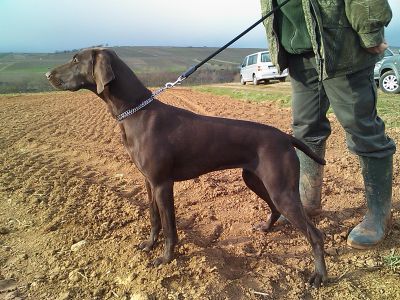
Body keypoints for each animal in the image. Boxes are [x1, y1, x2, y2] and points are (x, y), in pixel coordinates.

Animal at [47, 48, 328, 288]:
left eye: (76, 59)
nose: (48, 74)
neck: (136, 112)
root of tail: (286, 137)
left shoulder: (163, 184)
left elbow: (170, 227)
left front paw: (165, 259)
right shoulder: (148, 182)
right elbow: (154, 219)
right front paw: (148, 245)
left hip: (281, 189)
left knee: (315, 235)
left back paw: (319, 276)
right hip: (256, 180)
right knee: (275, 209)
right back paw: (267, 229)